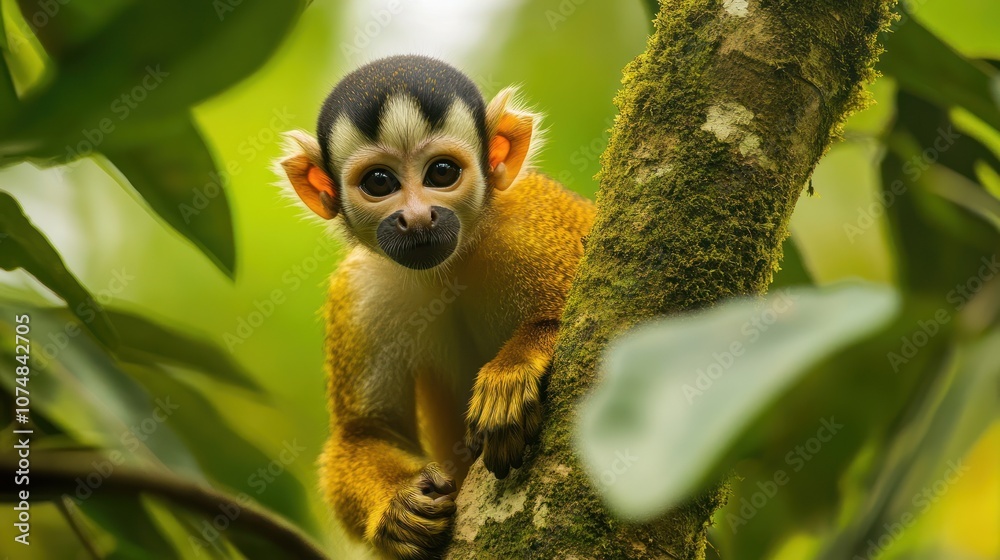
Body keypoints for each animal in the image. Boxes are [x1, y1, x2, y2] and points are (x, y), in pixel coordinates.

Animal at [277, 55, 595, 559]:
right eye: (379, 182)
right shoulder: (360, 290)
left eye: (441, 173)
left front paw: (513, 369)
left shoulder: (529, 223)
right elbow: (367, 433)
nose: (417, 218)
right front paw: (396, 507)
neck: (450, 264)